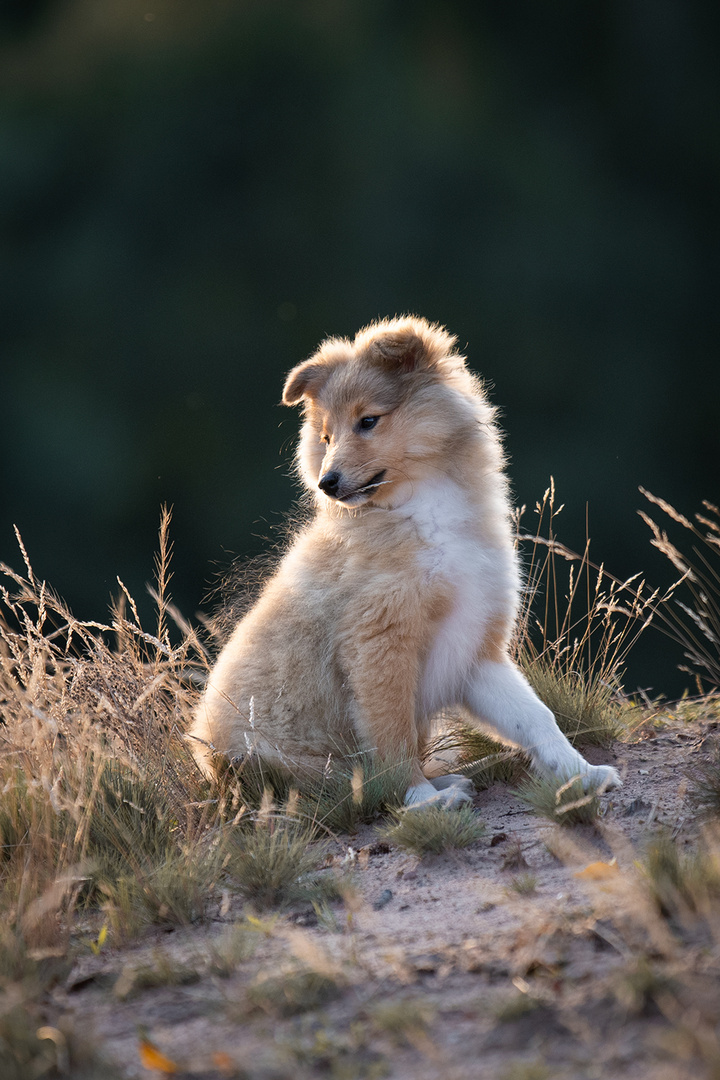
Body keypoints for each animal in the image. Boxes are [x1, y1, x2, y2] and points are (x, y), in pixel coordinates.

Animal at [188, 315, 621, 807]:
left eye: (367, 421)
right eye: (326, 437)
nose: (326, 483)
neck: (423, 510)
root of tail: (209, 775)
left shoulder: (475, 650)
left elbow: (535, 718)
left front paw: (582, 773)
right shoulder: (378, 644)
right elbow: (392, 734)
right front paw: (422, 800)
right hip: (280, 763)